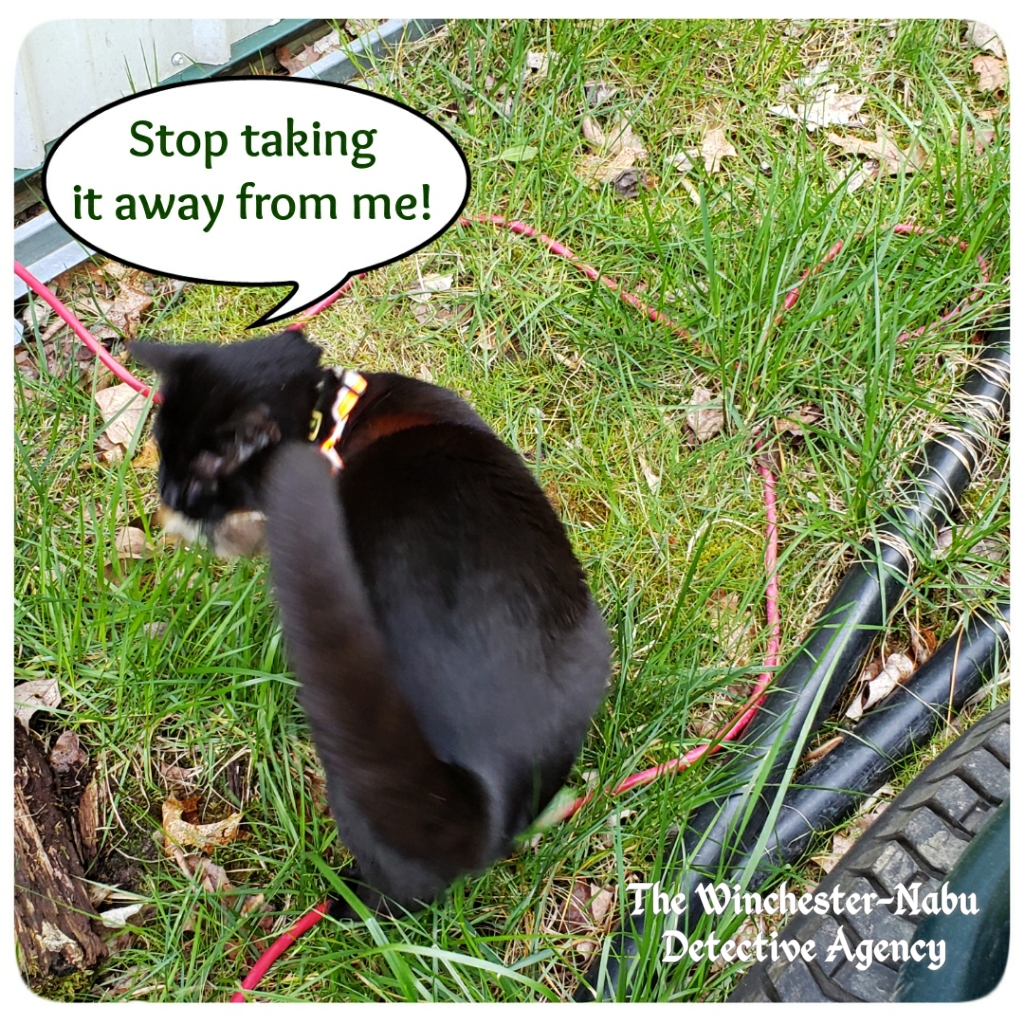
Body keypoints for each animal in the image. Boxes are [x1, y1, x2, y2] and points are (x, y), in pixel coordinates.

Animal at [128, 329, 606, 913]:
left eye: (196, 479)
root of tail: (489, 787)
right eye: (161, 453)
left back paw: (342, 905)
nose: (166, 494)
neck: (334, 415)